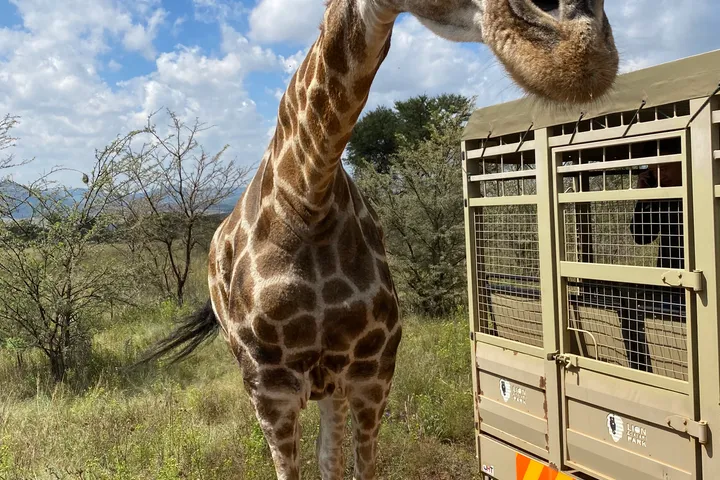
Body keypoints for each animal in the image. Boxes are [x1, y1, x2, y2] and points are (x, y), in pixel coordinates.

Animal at [138, 0, 618, 479]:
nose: (582, 50)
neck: (306, 200)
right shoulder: (270, 392)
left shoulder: (372, 375)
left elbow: (356, 466)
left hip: (331, 384)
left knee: (329, 457)